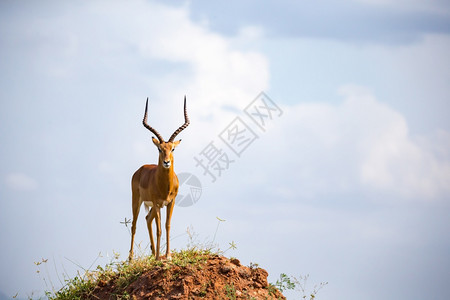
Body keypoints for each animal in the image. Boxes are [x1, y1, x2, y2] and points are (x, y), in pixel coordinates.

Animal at [128, 96, 190, 260]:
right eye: (159, 149)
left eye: (172, 149)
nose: (166, 162)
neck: (164, 187)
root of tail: (140, 169)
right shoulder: (157, 203)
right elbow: (159, 229)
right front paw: (158, 258)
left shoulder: (170, 202)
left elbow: (167, 226)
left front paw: (167, 255)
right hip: (137, 200)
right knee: (134, 225)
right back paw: (131, 259)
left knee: (147, 219)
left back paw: (153, 253)